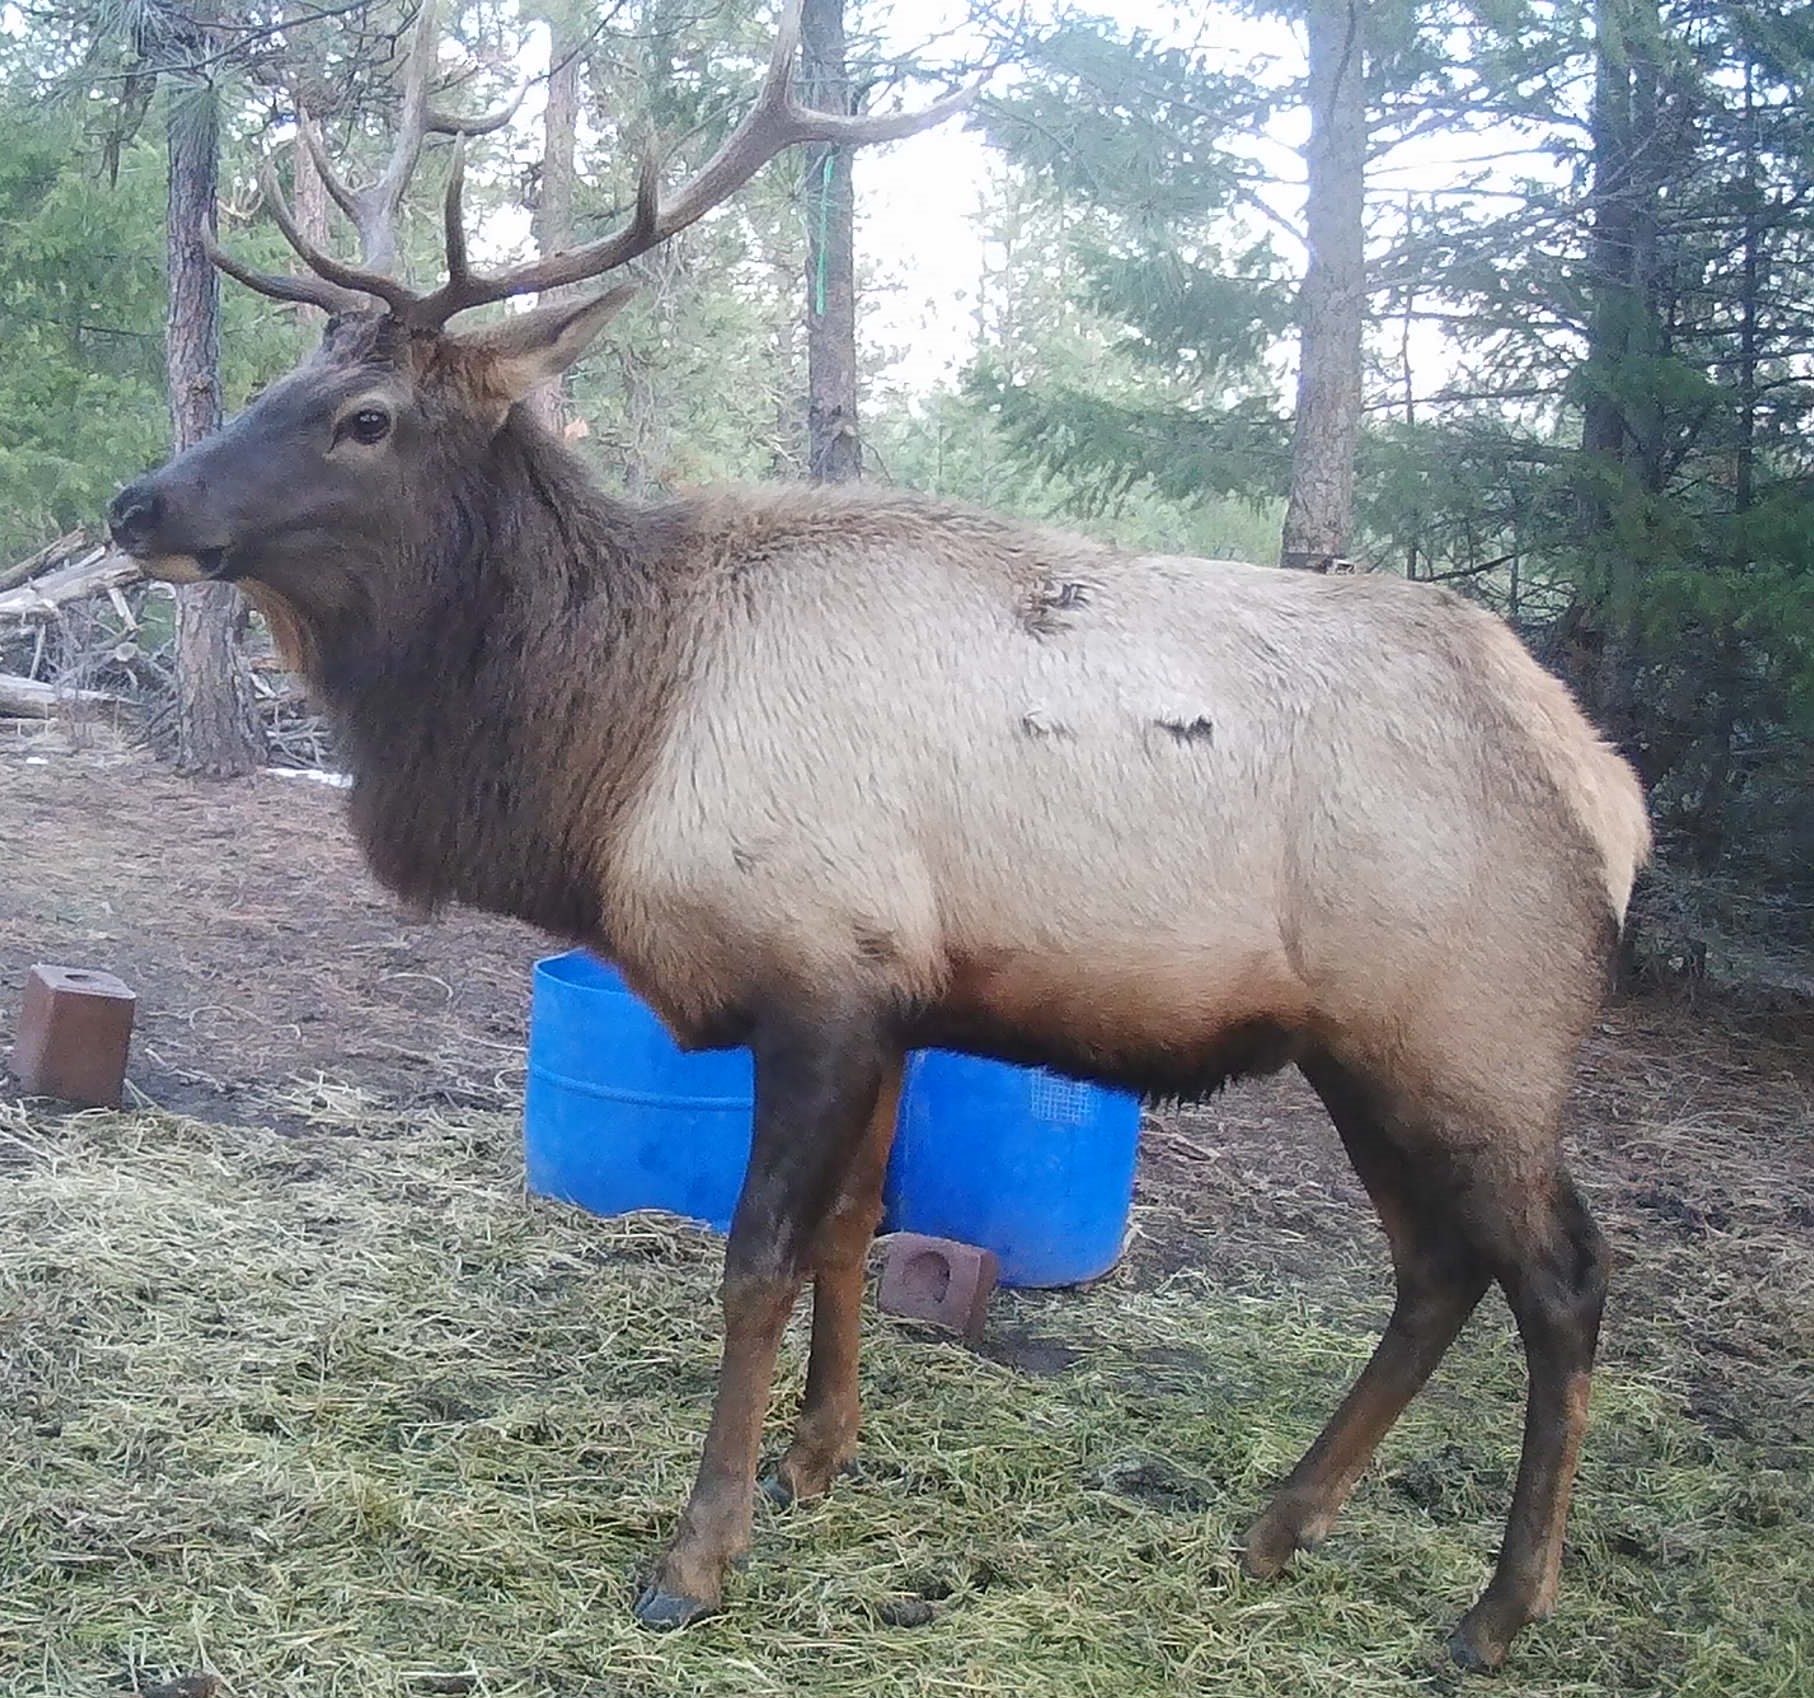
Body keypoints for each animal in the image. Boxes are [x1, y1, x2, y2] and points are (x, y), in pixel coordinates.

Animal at [105, 0, 1650, 1671]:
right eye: (281, 375)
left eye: (366, 418)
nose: (136, 504)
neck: (609, 738)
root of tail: (1609, 794)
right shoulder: (898, 990)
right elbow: (851, 1229)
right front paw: (815, 1457)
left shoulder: (819, 976)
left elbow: (755, 1259)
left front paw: (696, 1552)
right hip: (1362, 1047)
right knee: (1435, 1268)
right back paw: (1275, 1524)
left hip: (1472, 1033)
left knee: (1560, 1276)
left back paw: (1494, 1606)